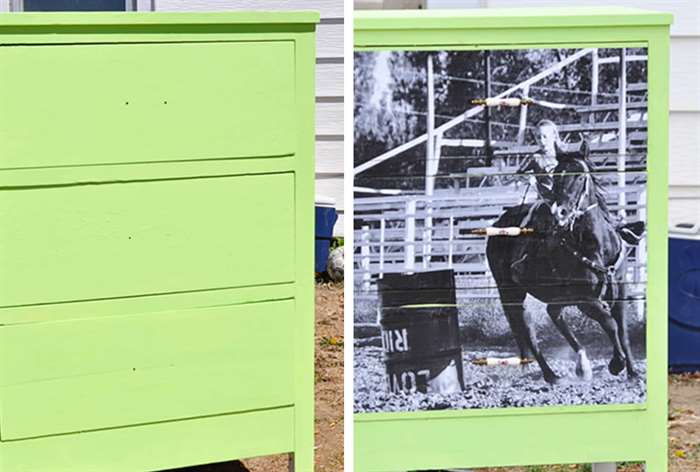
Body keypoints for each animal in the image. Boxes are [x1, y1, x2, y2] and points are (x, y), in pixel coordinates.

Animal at [486, 149, 644, 386]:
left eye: (579, 176)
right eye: (557, 176)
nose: (560, 212)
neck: (598, 246)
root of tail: (497, 225)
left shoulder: (620, 290)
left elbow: (623, 331)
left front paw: (633, 372)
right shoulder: (585, 300)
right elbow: (610, 323)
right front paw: (616, 364)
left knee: (552, 314)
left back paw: (580, 366)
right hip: (509, 292)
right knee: (526, 329)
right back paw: (551, 375)